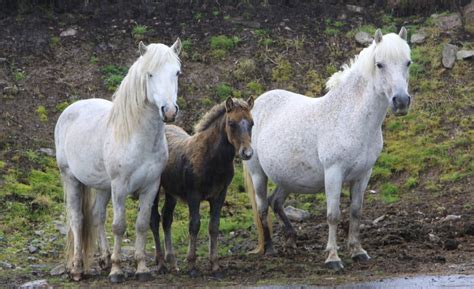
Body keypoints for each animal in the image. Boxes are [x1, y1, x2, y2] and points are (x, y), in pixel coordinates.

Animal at [54, 38, 181, 282]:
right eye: (150, 74)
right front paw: (117, 270)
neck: (138, 137)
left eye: (177, 73)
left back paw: (103, 259)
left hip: (103, 186)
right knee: (77, 219)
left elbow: (141, 225)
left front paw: (141, 268)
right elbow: (119, 226)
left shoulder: (151, 187)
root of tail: (70, 109)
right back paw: (77, 268)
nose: (169, 111)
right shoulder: (120, 187)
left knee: (97, 216)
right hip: (71, 179)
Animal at [244, 28, 412, 268]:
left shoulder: (363, 175)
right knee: (262, 208)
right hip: (258, 173)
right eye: (380, 64)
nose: (401, 102)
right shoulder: (333, 173)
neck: (351, 117)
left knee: (276, 202)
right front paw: (333, 257)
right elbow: (333, 215)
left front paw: (358, 251)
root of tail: (255, 105)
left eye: (408, 62)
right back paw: (269, 249)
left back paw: (292, 239)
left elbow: (356, 212)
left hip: (287, 178)